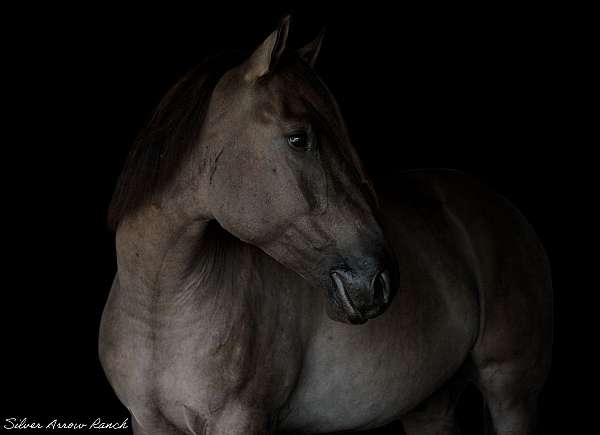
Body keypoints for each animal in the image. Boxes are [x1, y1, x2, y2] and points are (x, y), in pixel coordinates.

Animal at [98, 15, 552, 434]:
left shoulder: (241, 419)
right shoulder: (148, 422)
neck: (160, 310)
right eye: (299, 139)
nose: (380, 280)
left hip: (510, 390)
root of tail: (504, 208)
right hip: (430, 406)